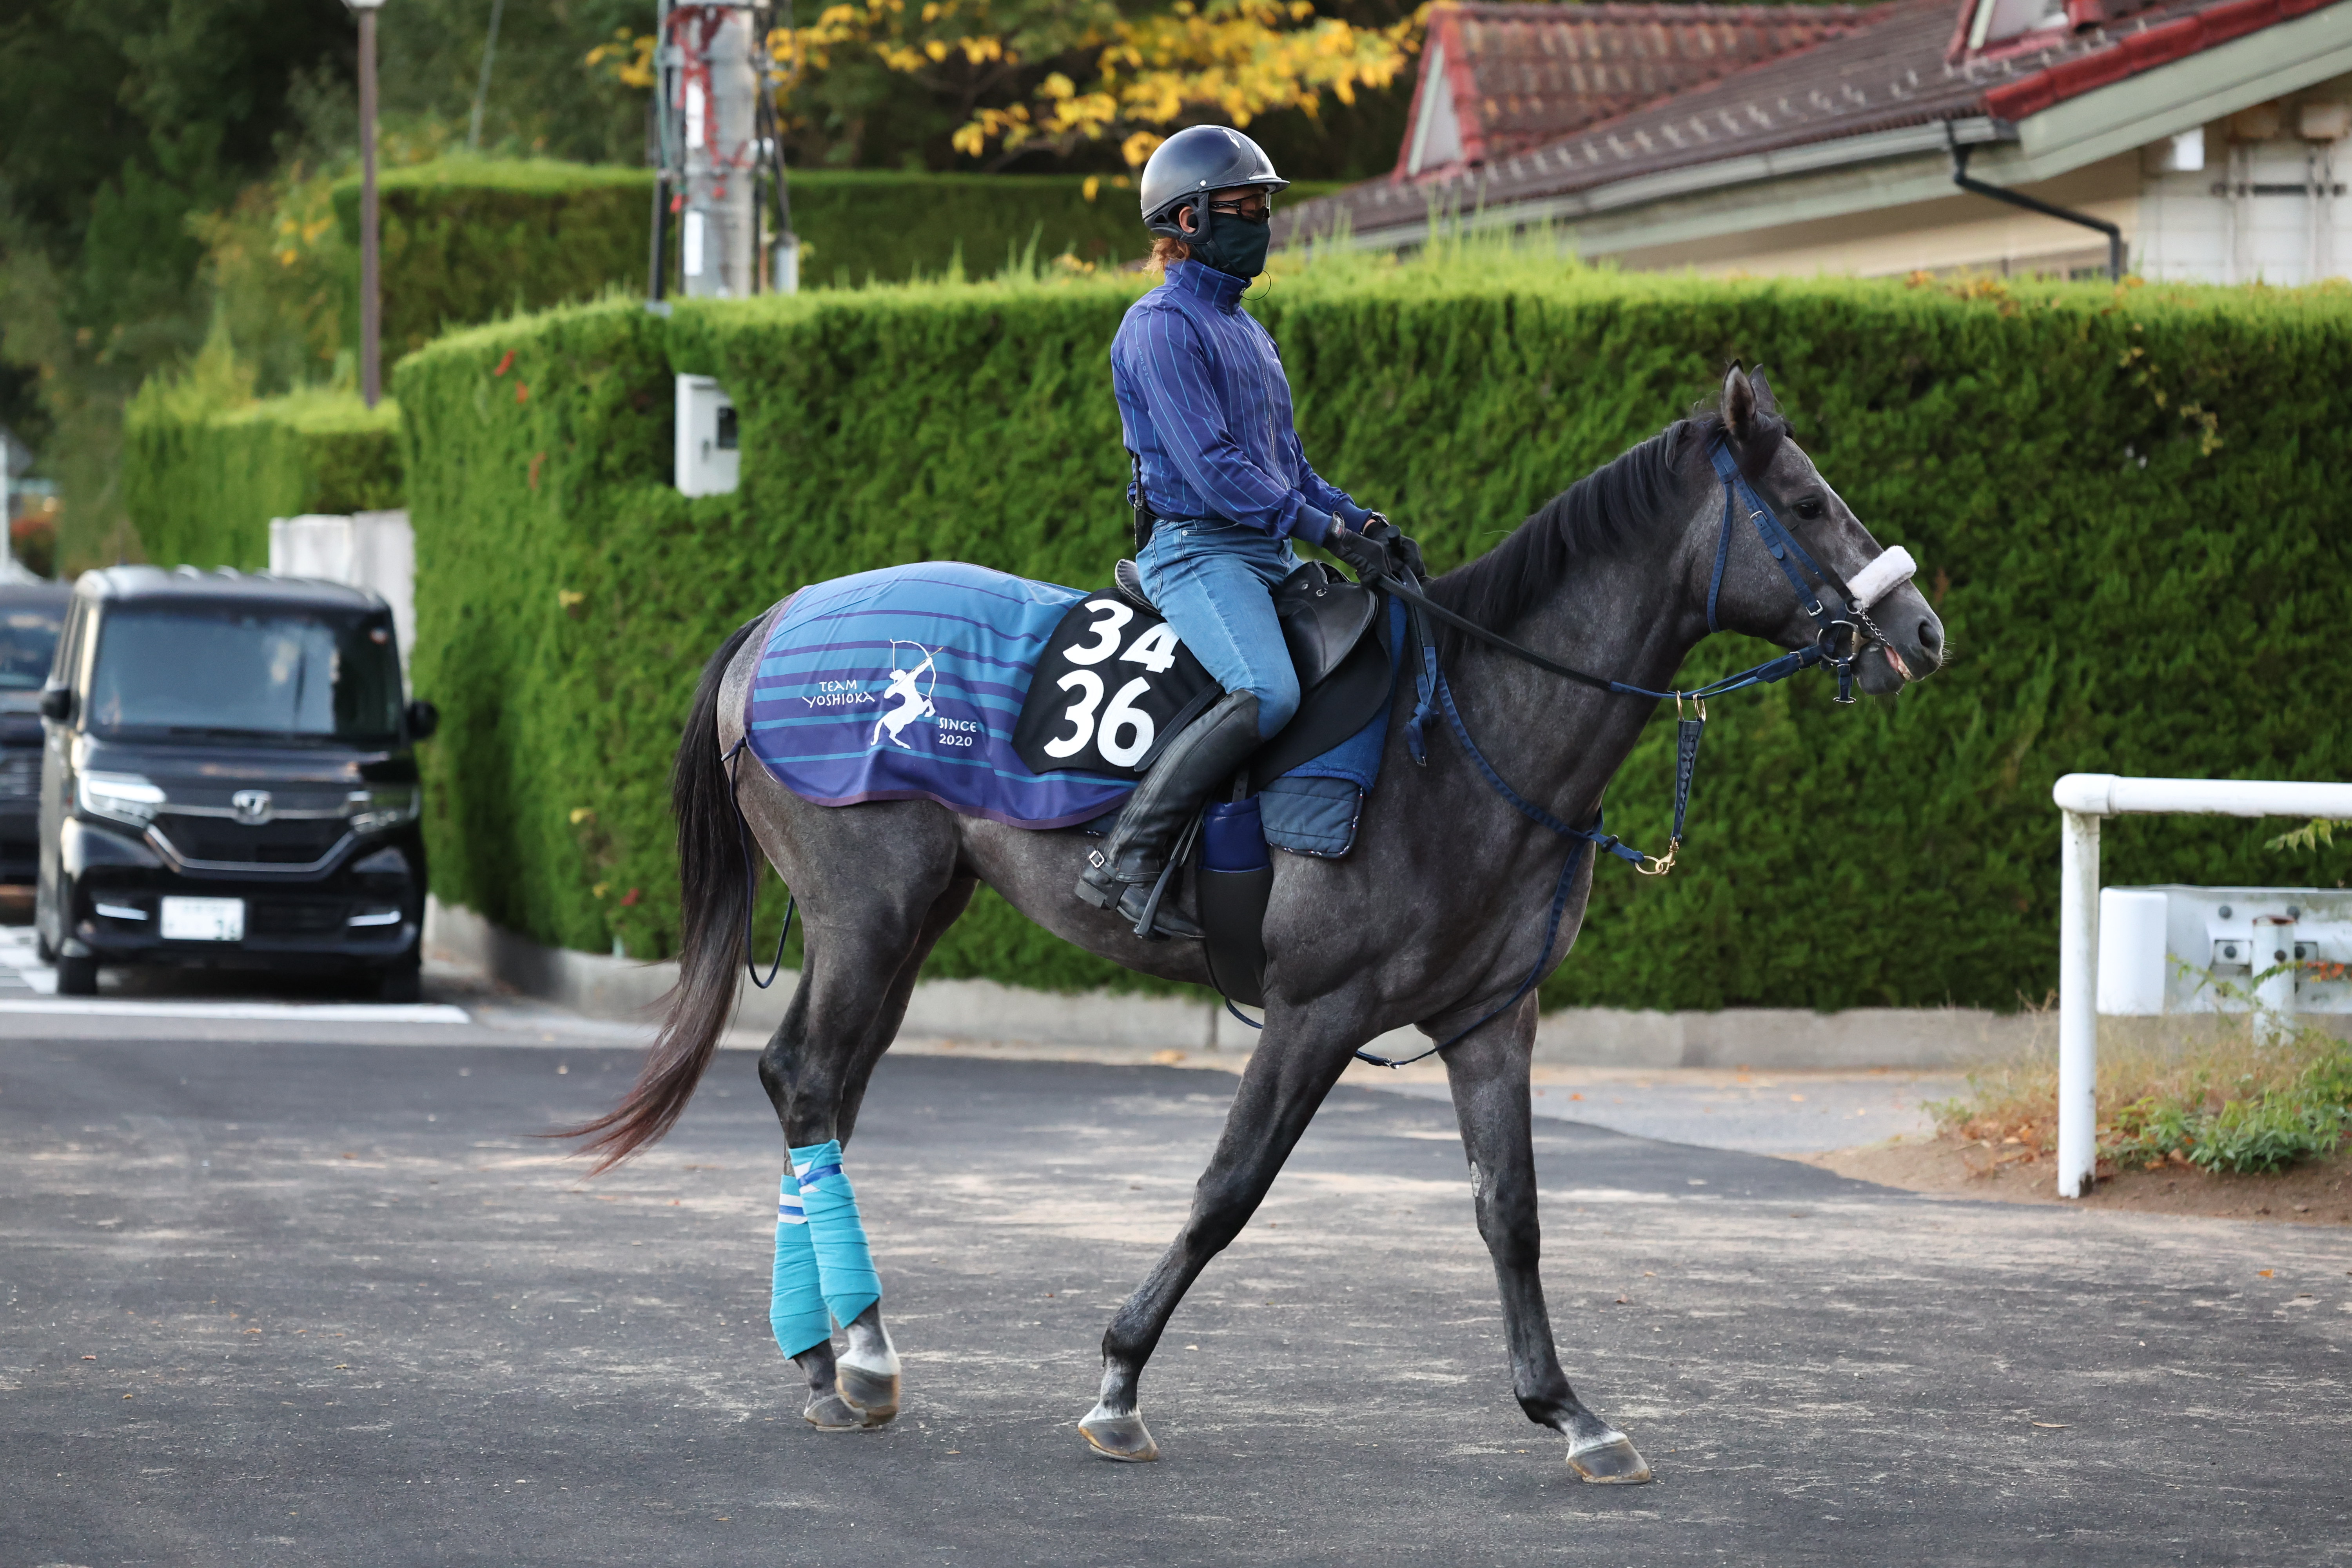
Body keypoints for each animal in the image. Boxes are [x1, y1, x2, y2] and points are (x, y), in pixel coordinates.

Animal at [566, 365, 1947, 1483]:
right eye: (1808, 504)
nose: (1921, 632)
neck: (1464, 735)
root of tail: (778, 621)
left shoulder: (1489, 1021)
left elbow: (1511, 1213)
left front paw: (1571, 1412)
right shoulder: (1316, 1009)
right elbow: (1229, 1189)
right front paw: (1119, 1381)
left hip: (907, 924)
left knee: (824, 1093)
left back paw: (825, 1354)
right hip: (868, 911)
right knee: (807, 1081)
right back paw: (855, 1354)